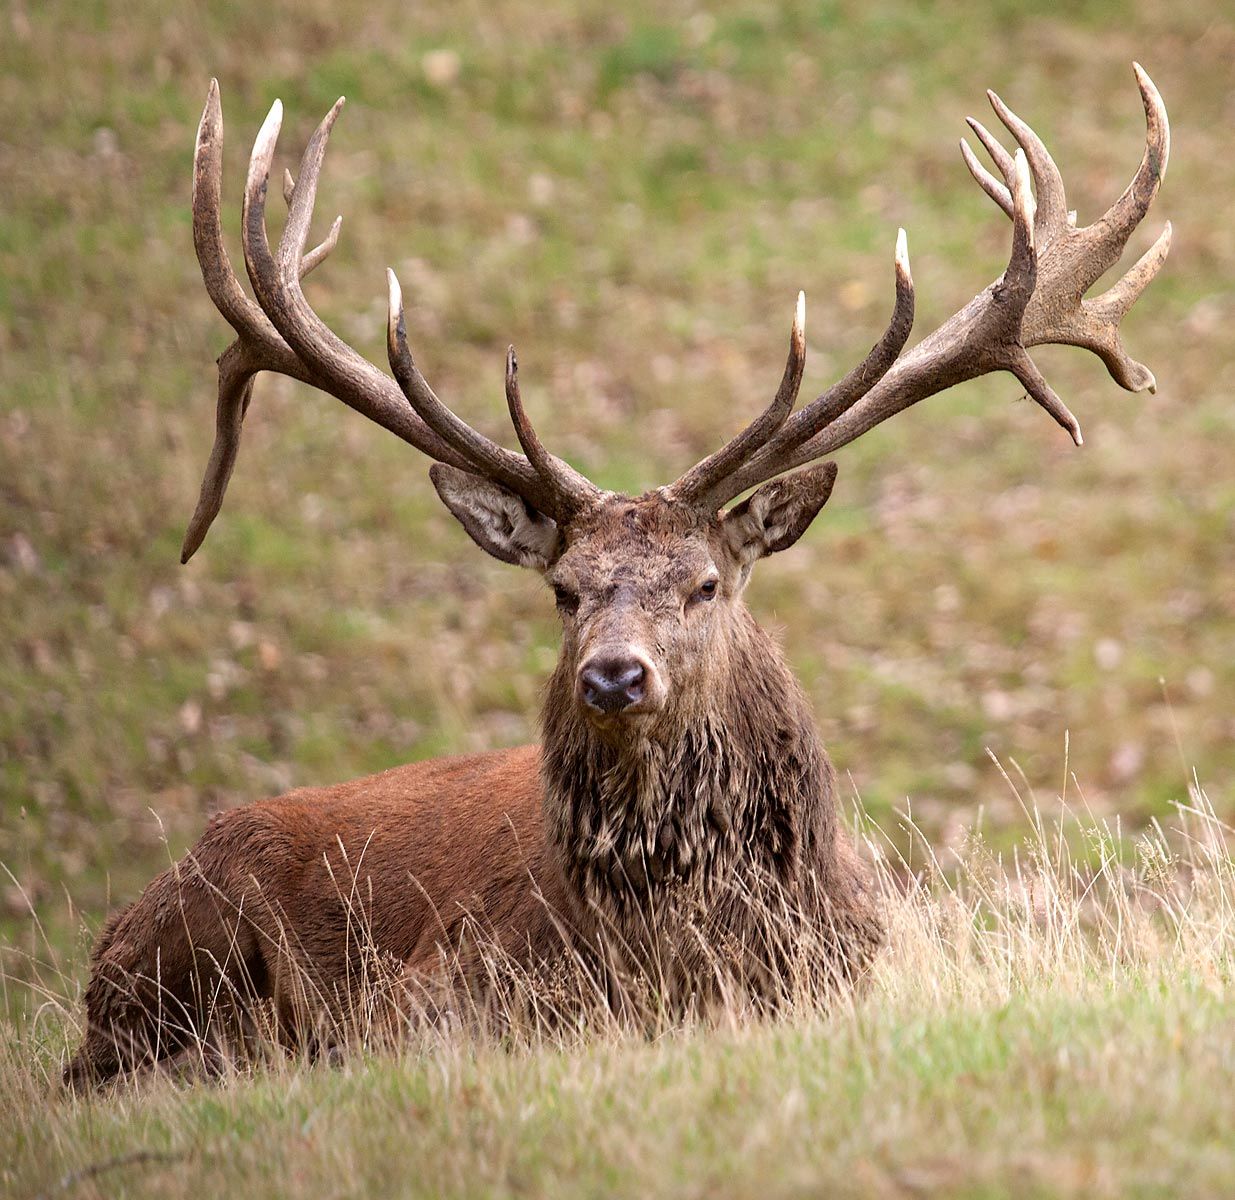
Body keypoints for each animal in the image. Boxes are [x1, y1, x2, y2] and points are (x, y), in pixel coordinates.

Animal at [65, 65, 1170, 1089]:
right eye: (564, 589)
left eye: (706, 583)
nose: (613, 675)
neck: (677, 951)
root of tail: (107, 944)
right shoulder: (429, 992)